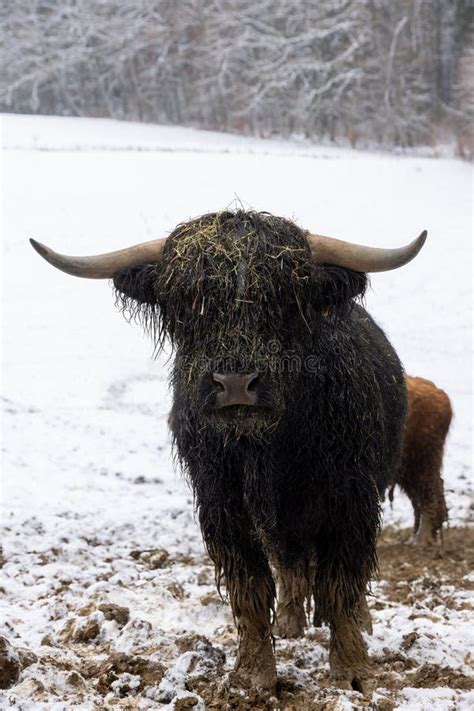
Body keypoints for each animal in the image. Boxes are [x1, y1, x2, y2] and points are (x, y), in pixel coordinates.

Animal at [31, 211, 428, 696]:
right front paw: (253, 674)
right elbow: (251, 584)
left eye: (284, 299)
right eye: (190, 305)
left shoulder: (350, 498)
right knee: (291, 564)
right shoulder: (223, 504)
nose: (236, 384)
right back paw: (291, 623)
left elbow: (341, 581)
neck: (268, 448)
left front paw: (352, 671)